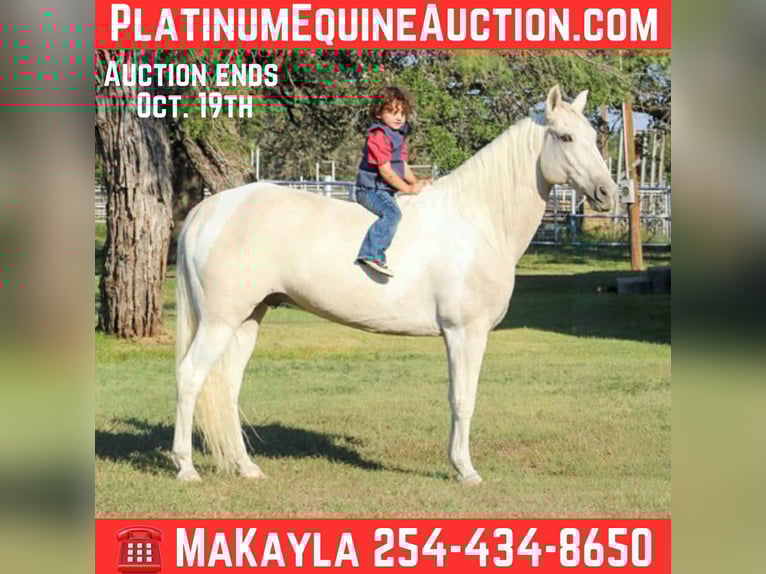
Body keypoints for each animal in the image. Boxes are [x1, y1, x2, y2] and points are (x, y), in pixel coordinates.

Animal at [172, 85, 617, 484]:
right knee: (190, 376)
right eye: (565, 137)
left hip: (249, 318)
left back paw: (246, 467)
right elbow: (463, 400)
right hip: (219, 321)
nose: (607, 193)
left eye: (593, 137)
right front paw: (465, 470)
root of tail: (210, 209)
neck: (477, 219)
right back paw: (187, 468)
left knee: (227, 386)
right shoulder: (465, 333)